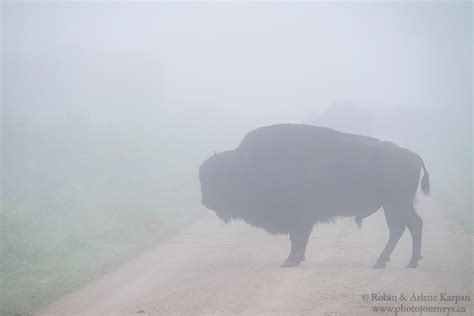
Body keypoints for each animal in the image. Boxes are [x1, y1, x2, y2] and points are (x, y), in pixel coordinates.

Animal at [198, 124, 428, 268]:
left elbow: (296, 238)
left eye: (218, 179)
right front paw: (296, 259)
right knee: (410, 226)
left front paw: (290, 261)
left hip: (395, 204)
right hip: (396, 205)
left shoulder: (298, 217)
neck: (246, 166)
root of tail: (414, 156)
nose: (205, 201)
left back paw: (387, 262)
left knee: (402, 227)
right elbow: (299, 239)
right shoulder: (301, 219)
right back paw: (405, 262)